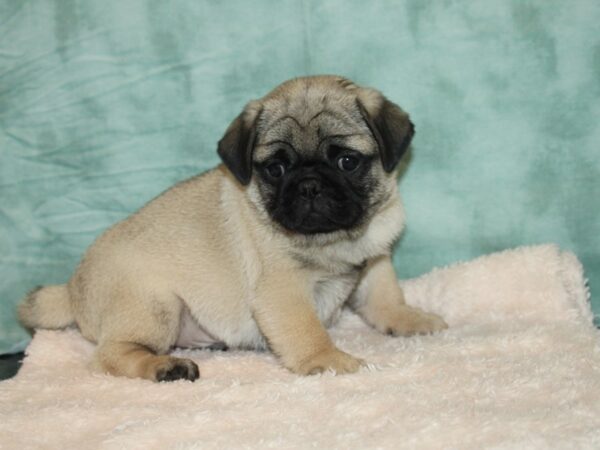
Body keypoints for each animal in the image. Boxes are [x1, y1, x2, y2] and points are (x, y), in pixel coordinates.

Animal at [18, 75, 448, 382]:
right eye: (275, 169)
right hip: (154, 303)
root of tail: (72, 288)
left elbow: (385, 298)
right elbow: (308, 330)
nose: (309, 185)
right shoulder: (282, 291)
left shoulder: (375, 260)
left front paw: (412, 320)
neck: (335, 240)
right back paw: (165, 367)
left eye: (347, 161)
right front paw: (328, 361)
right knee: (110, 356)